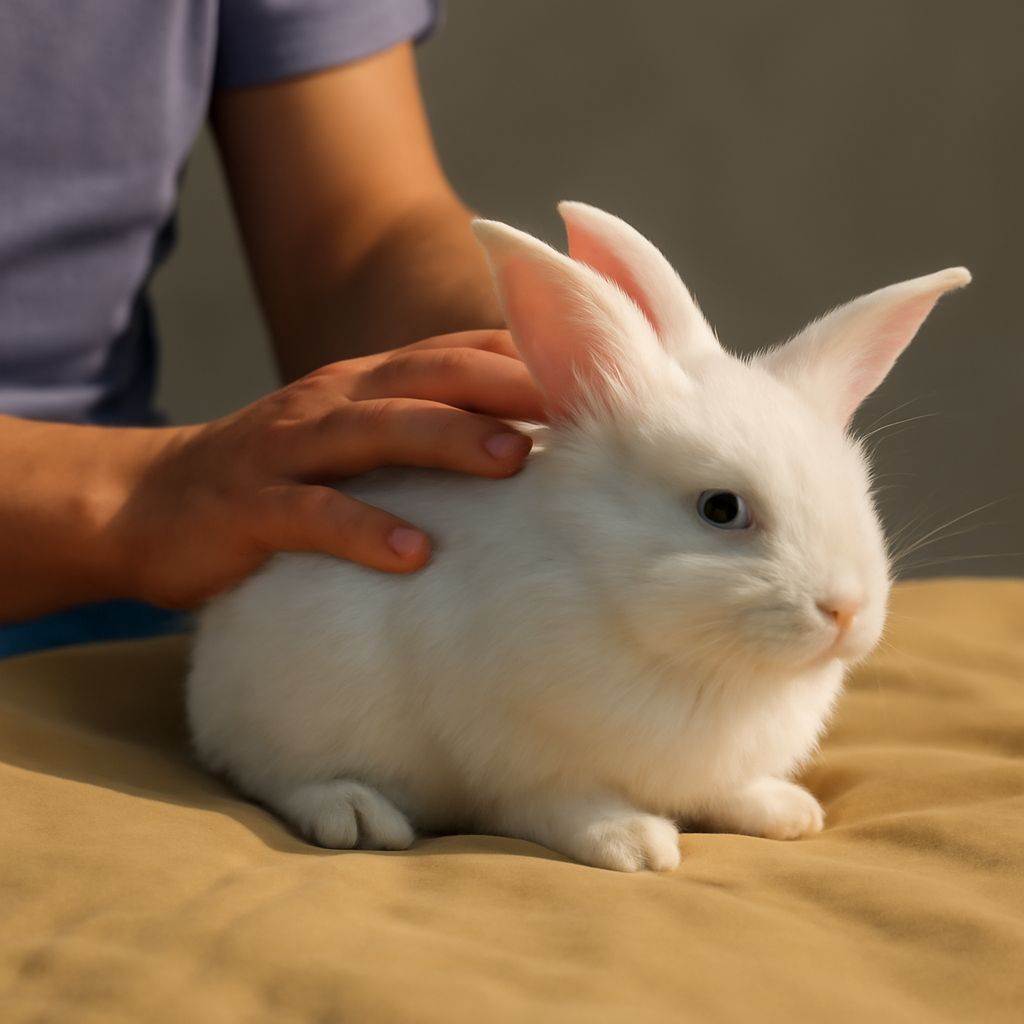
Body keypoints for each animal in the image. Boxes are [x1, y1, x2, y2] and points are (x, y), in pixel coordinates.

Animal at [187, 202, 969, 872]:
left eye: (859, 494)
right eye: (721, 509)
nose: (847, 611)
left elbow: (726, 789)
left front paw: (787, 811)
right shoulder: (524, 755)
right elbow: (561, 805)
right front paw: (634, 843)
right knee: (264, 773)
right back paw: (353, 813)